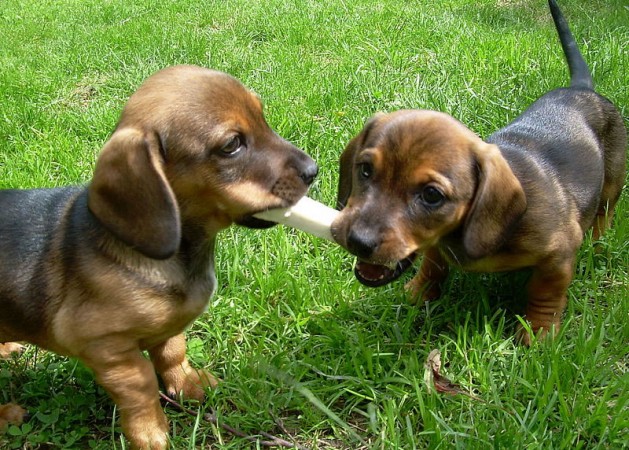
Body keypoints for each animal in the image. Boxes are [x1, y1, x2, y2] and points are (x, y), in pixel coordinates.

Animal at [0, 65, 314, 448]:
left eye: (262, 116)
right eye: (231, 145)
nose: (313, 170)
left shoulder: (168, 329)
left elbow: (172, 352)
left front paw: (187, 385)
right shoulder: (105, 346)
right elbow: (141, 384)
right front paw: (150, 431)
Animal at [332, 0, 624, 344]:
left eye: (432, 195)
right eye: (365, 170)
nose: (358, 241)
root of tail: (581, 89)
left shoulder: (560, 254)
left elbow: (546, 293)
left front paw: (537, 333)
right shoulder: (437, 247)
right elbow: (433, 265)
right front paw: (418, 293)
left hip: (613, 183)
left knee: (605, 212)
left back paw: (598, 244)